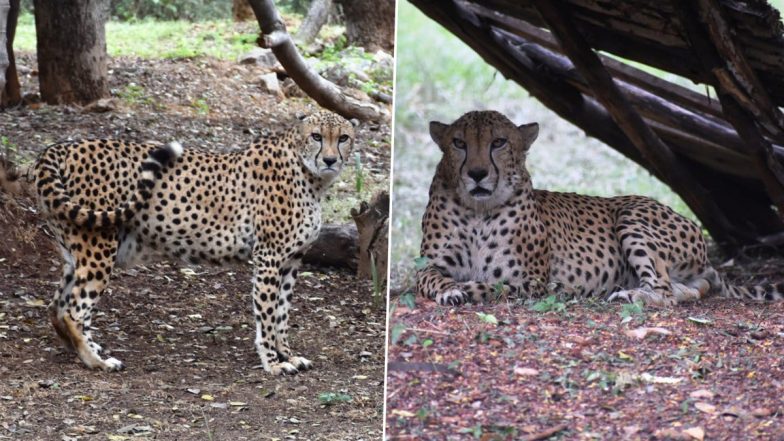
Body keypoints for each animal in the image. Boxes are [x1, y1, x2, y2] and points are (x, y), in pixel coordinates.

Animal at [1, 110, 357, 374]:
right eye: (316, 136)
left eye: (342, 138)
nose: (329, 160)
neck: (311, 176)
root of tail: (59, 147)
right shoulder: (270, 257)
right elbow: (268, 314)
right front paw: (272, 362)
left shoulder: (292, 260)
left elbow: (282, 313)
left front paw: (288, 354)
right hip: (98, 247)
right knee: (74, 309)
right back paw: (97, 361)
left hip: (76, 249)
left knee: (57, 306)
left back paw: (82, 350)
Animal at [417, 110, 783, 307]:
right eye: (459, 143)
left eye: (498, 142)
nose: (477, 174)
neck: (479, 211)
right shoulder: (427, 266)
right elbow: (432, 279)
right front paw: (450, 290)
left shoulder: (530, 279)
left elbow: (492, 285)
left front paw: (465, 289)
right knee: (687, 290)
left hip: (630, 215)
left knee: (663, 291)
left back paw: (629, 295)